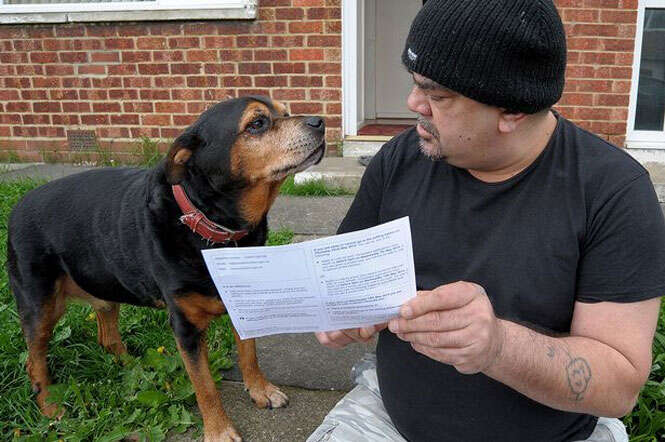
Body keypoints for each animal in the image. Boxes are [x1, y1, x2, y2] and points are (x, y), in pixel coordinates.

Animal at [5, 95, 326, 440]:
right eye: (256, 123)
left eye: (286, 112)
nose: (320, 122)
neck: (214, 226)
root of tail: (17, 207)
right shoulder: (184, 327)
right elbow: (205, 386)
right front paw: (219, 430)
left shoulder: (243, 305)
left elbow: (249, 353)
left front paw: (260, 390)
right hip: (40, 305)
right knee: (34, 361)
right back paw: (51, 408)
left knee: (107, 337)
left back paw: (132, 366)